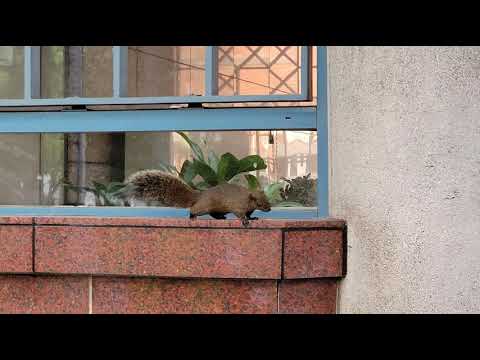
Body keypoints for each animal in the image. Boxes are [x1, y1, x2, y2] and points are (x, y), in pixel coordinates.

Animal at [125, 170, 272, 226]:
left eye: (268, 199)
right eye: (260, 203)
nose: (269, 209)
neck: (248, 197)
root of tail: (200, 195)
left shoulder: (248, 208)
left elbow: (249, 214)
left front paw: (252, 218)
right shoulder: (238, 206)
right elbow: (240, 214)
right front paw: (244, 220)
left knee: (214, 214)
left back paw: (221, 218)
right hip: (204, 206)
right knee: (194, 210)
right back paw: (192, 217)